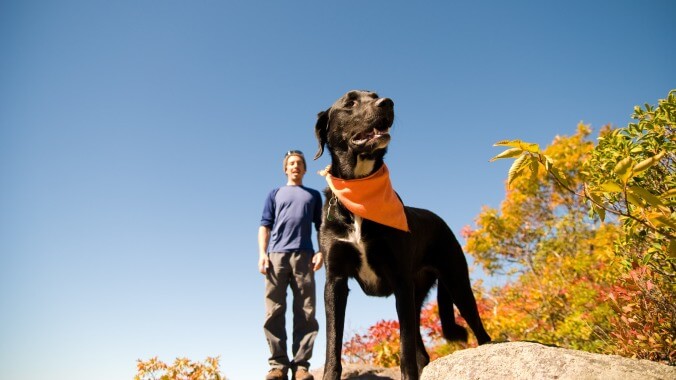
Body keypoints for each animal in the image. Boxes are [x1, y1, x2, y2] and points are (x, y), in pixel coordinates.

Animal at [312, 90, 492, 378]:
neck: (360, 192)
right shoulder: (335, 281)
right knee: (423, 351)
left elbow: (405, 352)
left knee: (478, 331)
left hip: (455, 283)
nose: (387, 102)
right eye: (350, 102)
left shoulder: (400, 280)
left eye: (374, 95)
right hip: (416, 296)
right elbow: (332, 346)